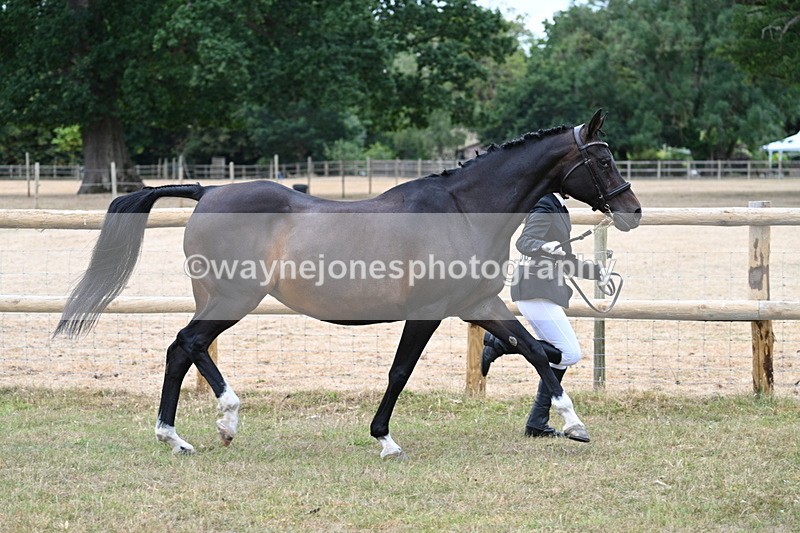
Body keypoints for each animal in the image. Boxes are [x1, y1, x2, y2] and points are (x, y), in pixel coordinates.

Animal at [55, 109, 641, 458]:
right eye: (603, 157)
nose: (632, 210)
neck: (461, 209)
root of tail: (207, 192)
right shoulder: (429, 310)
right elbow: (401, 371)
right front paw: (385, 440)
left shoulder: (476, 301)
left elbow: (537, 351)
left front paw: (573, 423)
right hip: (234, 296)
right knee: (186, 344)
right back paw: (212, 422)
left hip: (224, 297)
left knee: (184, 348)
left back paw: (190, 432)